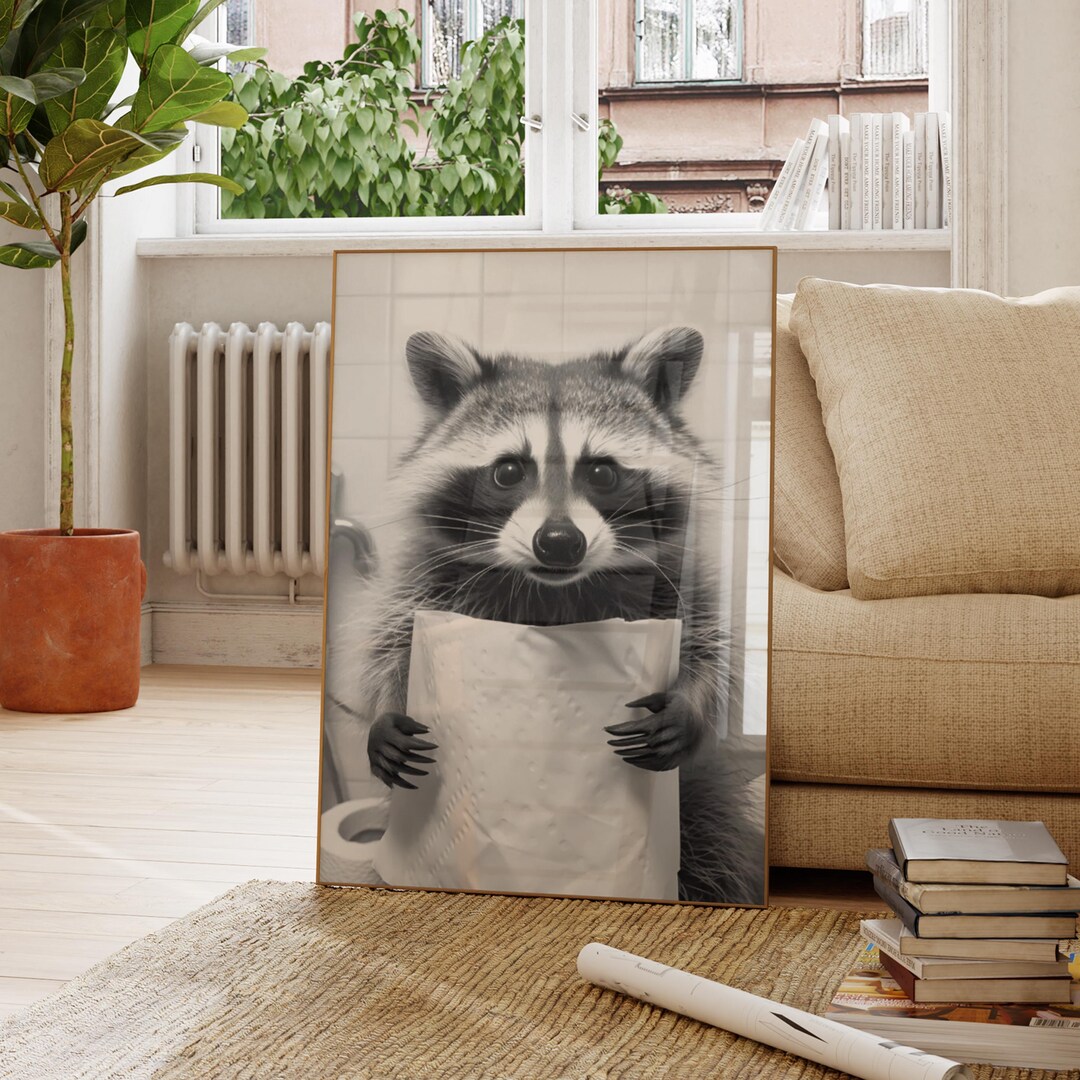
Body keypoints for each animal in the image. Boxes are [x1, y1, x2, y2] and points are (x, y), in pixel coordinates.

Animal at [339, 326, 763, 905]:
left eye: (602, 471)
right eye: (508, 470)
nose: (560, 541)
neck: (554, 587)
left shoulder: (681, 581)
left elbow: (711, 650)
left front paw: (690, 705)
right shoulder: (424, 580)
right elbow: (390, 643)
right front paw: (385, 710)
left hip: (700, 812)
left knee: (717, 843)